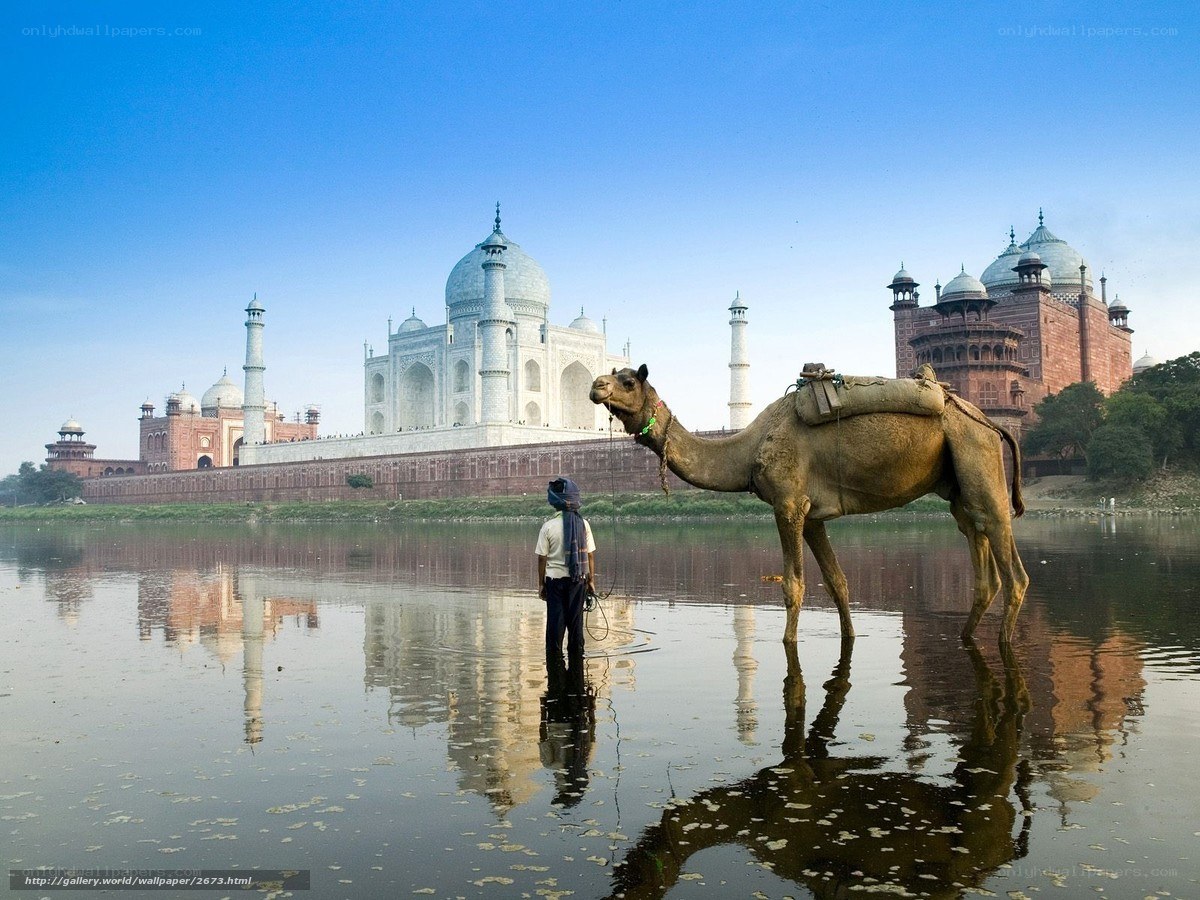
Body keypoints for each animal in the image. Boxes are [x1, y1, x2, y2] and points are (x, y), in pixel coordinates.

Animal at [590, 364, 1029, 644]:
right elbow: (837, 582)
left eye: (628, 381)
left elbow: (793, 586)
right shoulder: (813, 515)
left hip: (977, 453)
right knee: (980, 555)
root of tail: (990, 422)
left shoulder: (787, 503)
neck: (748, 448)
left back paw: (1004, 643)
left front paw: (789, 642)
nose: (596, 386)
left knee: (1012, 566)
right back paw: (965, 636)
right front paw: (850, 635)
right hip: (958, 485)